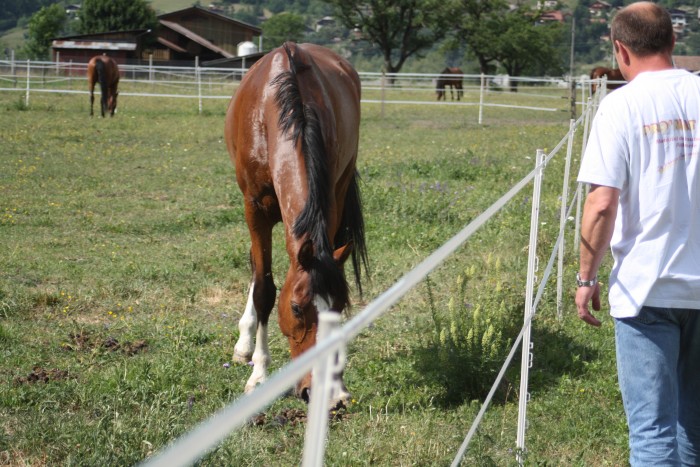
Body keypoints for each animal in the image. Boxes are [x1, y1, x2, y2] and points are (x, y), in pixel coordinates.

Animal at [224, 44, 370, 410]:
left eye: (339, 309)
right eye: (296, 309)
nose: (318, 392)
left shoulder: (328, 202)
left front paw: (339, 385)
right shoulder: (255, 210)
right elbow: (264, 289)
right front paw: (259, 372)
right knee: (256, 269)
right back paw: (244, 344)